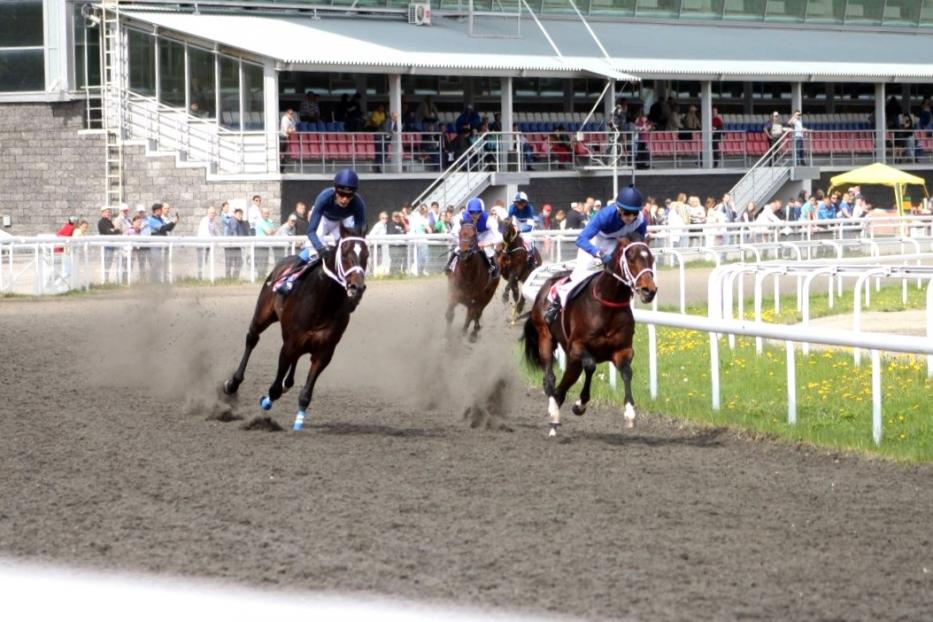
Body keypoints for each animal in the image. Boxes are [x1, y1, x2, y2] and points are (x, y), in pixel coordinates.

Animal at [224, 230, 370, 434]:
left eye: (367, 255)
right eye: (344, 254)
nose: (357, 287)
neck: (322, 301)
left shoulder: (324, 351)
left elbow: (306, 392)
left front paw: (299, 421)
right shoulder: (289, 344)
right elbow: (274, 389)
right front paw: (266, 401)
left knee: (294, 363)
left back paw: (287, 383)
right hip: (263, 315)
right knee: (252, 338)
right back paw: (233, 383)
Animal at [524, 238, 656, 438]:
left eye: (652, 259)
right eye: (631, 259)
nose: (650, 290)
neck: (608, 305)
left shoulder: (622, 350)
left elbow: (627, 372)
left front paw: (629, 412)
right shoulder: (577, 346)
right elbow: (591, 366)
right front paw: (580, 404)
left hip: (572, 359)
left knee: (563, 386)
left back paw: (555, 418)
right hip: (546, 337)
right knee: (550, 378)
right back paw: (553, 411)